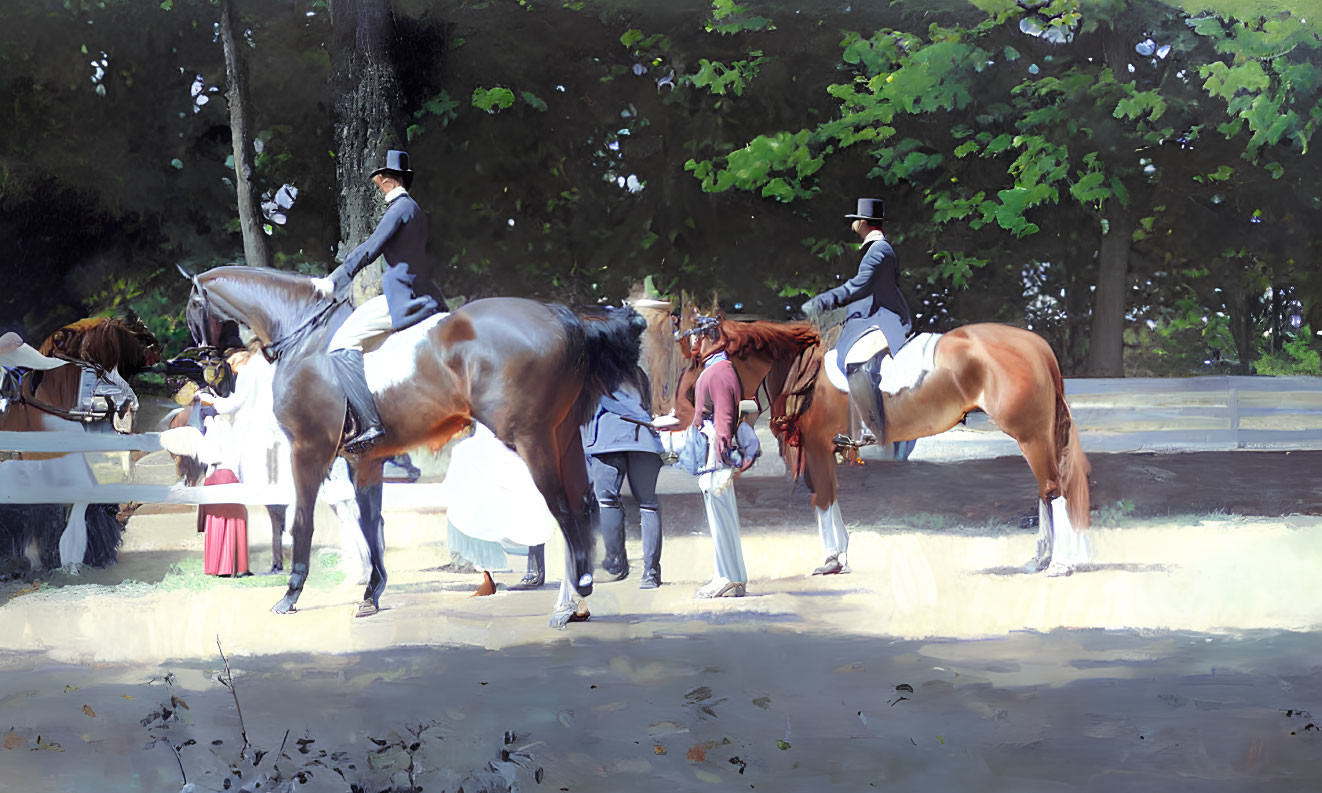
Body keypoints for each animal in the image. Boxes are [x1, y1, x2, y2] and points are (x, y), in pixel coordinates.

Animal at [185, 266, 639, 626]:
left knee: (560, 510)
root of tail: (563, 316)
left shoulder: (308, 450)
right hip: (562, 435)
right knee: (582, 504)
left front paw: (291, 594)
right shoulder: (364, 459)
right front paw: (371, 593)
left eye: (192, 306)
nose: (206, 364)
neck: (305, 339)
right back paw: (578, 602)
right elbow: (371, 522)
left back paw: (570, 601)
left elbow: (303, 522)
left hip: (532, 437)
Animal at [655, 307, 1089, 576]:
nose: (679, 412)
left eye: (699, 360)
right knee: (1045, 490)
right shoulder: (823, 449)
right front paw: (840, 556)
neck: (805, 372)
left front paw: (832, 559)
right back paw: (1042, 558)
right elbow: (825, 499)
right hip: (1033, 436)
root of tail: (1036, 344)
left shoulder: (817, 447)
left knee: (1054, 490)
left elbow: (822, 498)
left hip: (1030, 434)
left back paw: (1060, 564)